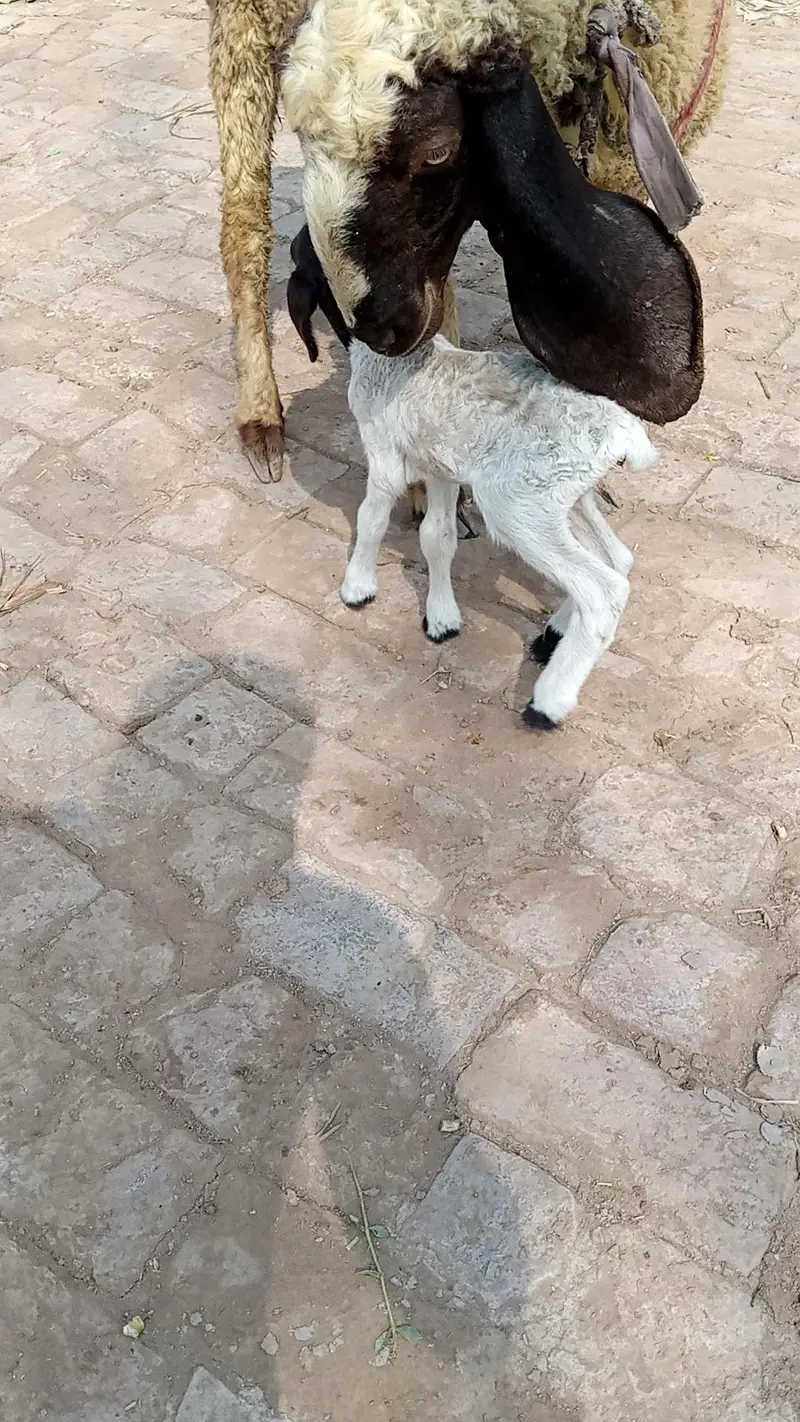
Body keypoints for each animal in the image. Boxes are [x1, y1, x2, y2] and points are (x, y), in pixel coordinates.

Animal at [288, 224, 657, 729]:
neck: (385, 357)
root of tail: (624, 434)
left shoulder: (383, 452)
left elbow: (372, 518)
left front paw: (358, 588)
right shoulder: (441, 468)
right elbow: (437, 537)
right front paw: (441, 618)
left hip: (518, 503)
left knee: (603, 591)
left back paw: (549, 701)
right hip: (566, 495)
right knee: (615, 558)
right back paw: (554, 633)